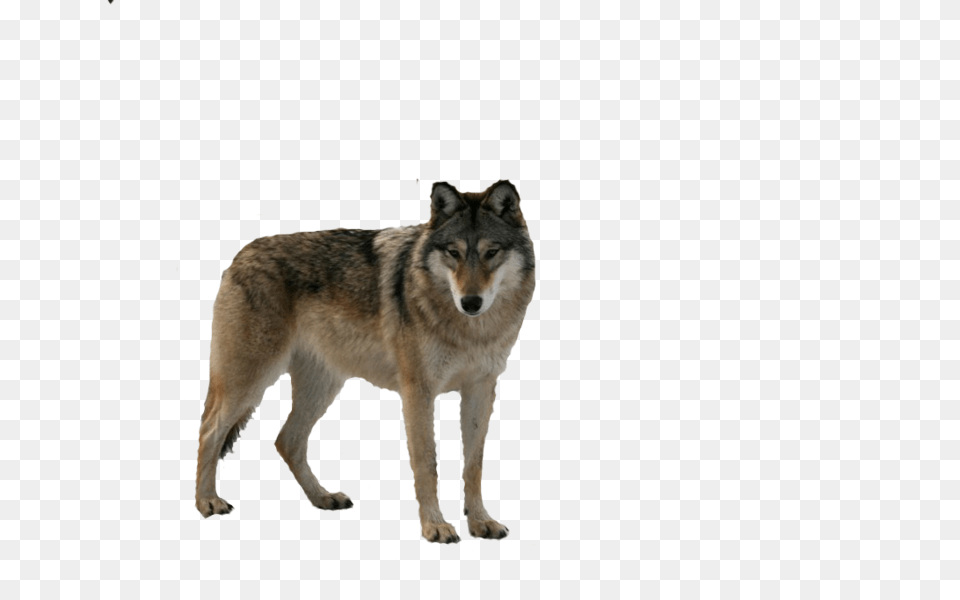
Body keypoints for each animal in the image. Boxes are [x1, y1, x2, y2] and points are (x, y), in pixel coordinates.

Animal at [195, 180, 536, 543]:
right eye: (453, 253)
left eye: (491, 252)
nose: (471, 302)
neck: (471, 331)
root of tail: (238, 256)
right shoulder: (418, 392)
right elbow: (426, 463)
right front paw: (434, 526)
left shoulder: (481, 390)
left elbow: (474, 464)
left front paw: (481, 521)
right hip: (248, 383)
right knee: (209, 430)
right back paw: (207, 502)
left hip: (322, 388)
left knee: (287, 440)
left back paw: (323, 497)